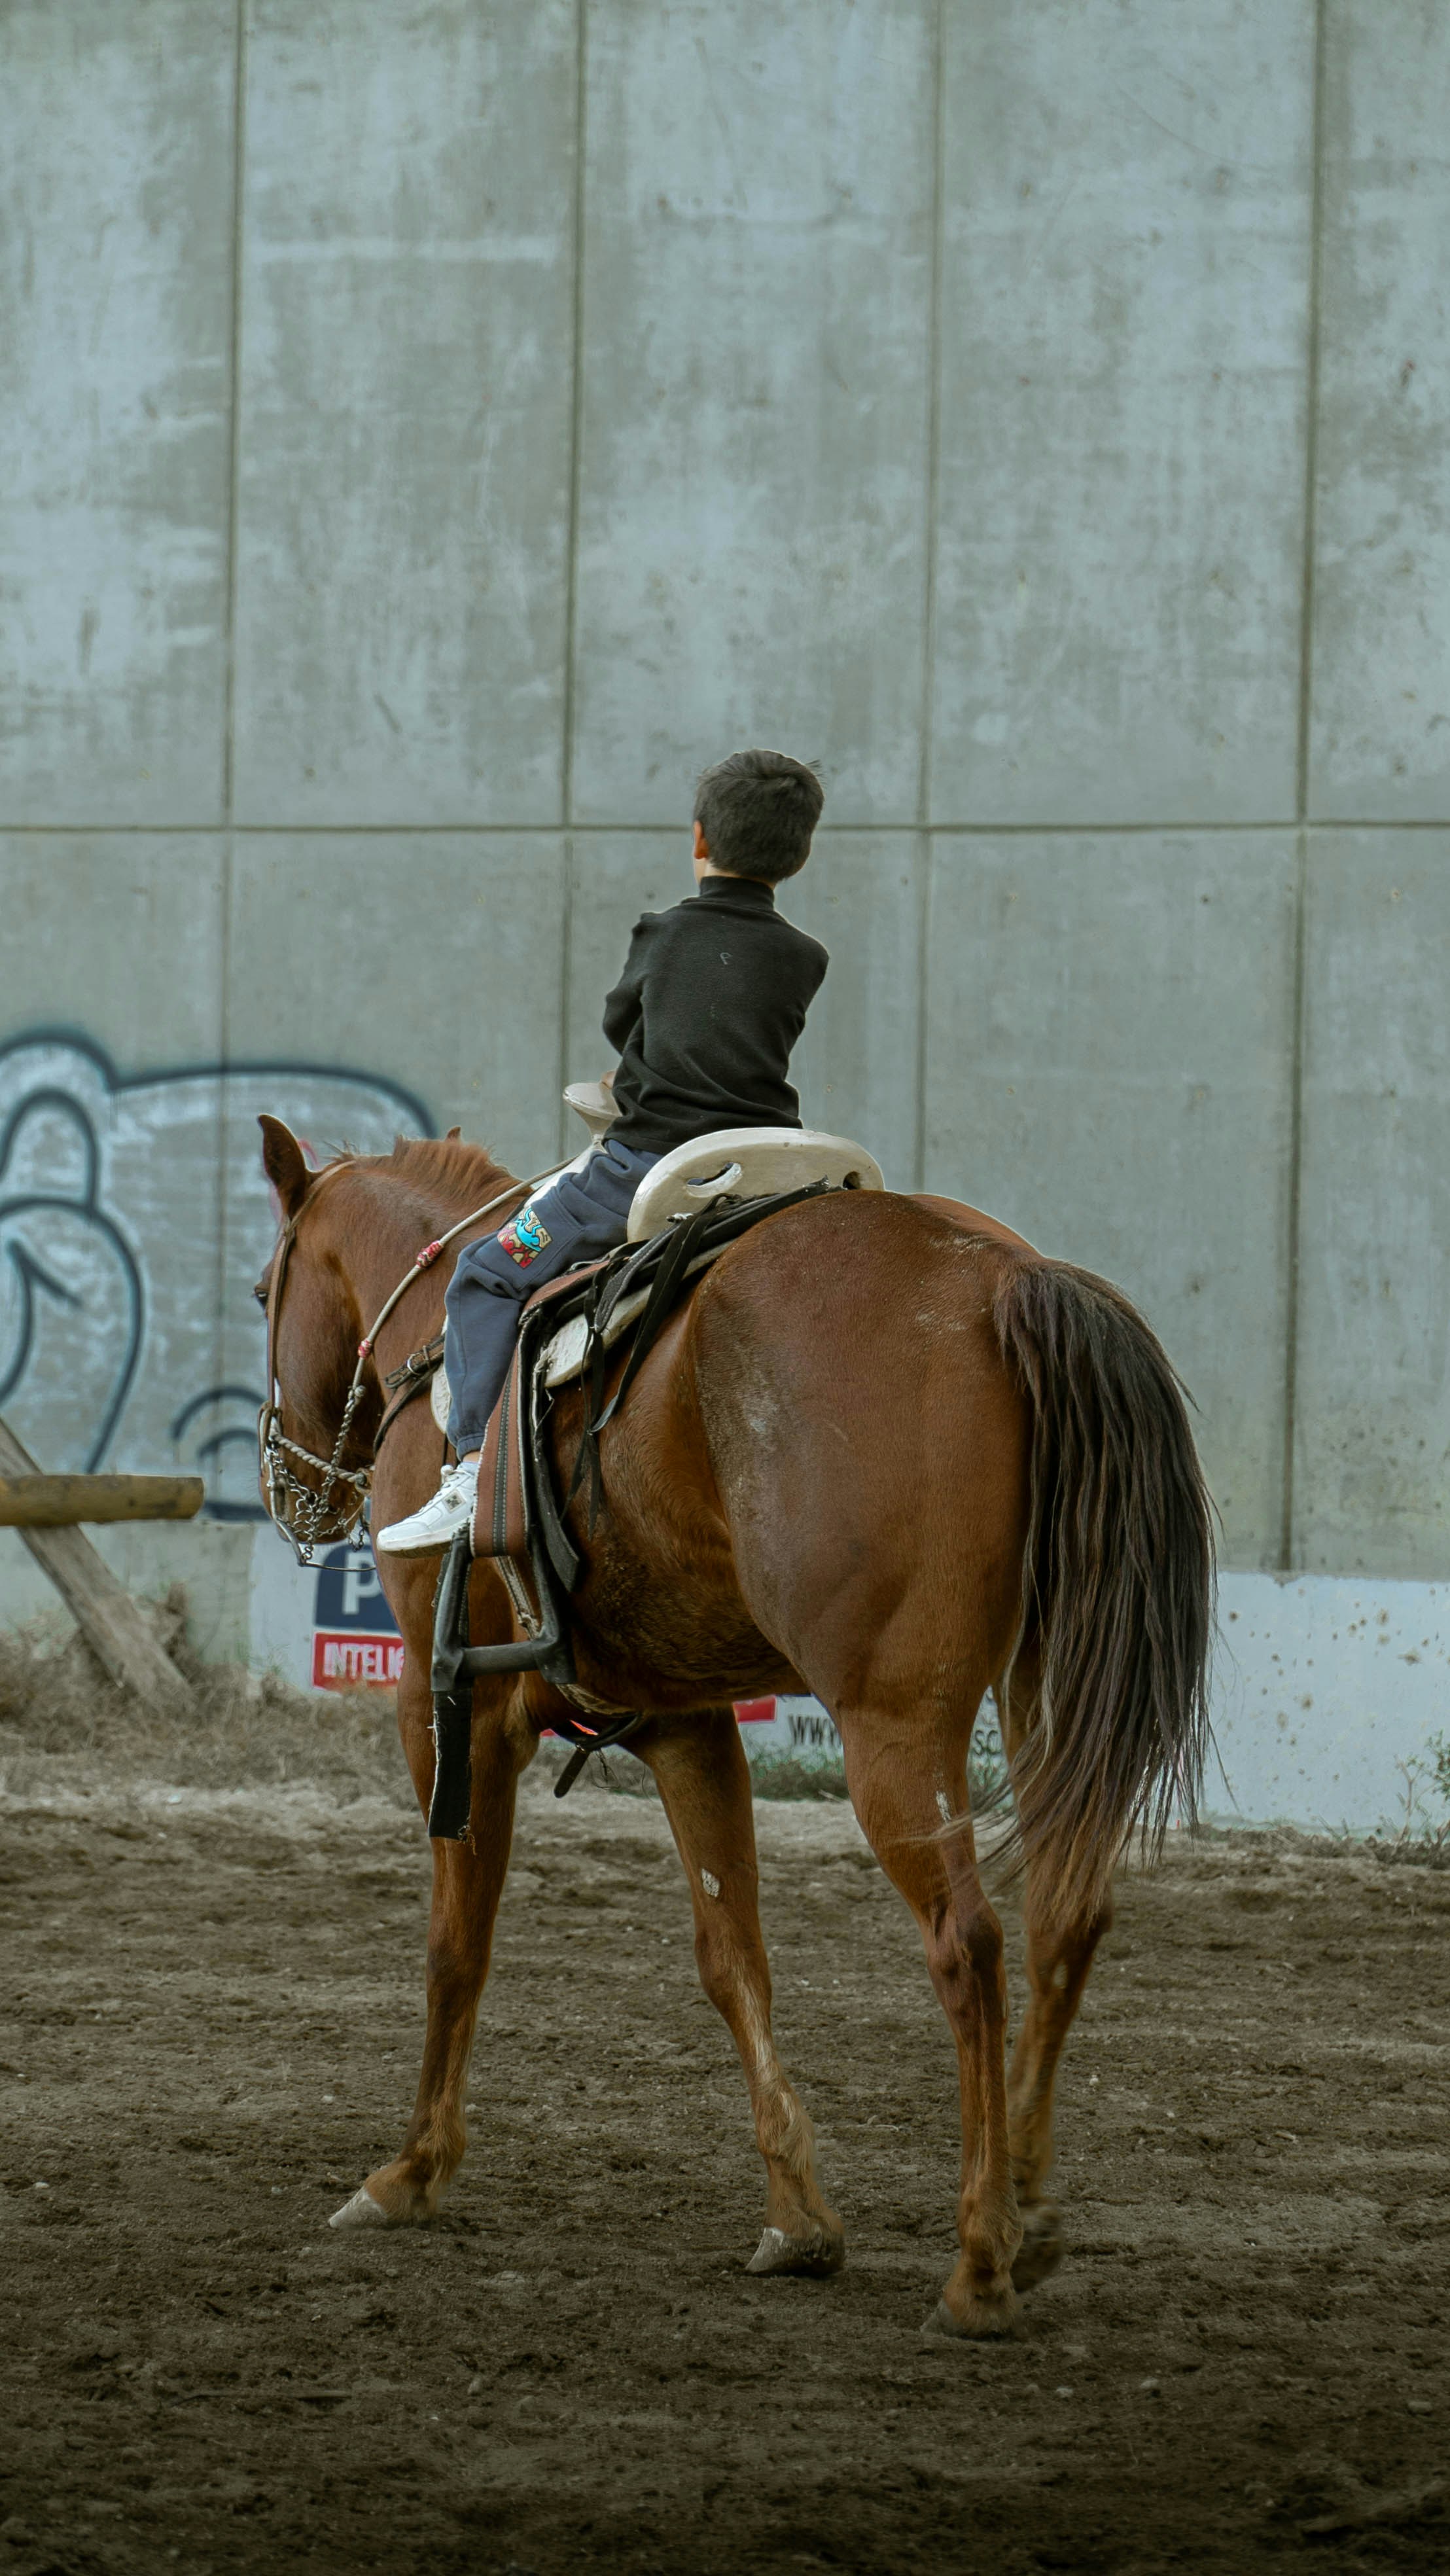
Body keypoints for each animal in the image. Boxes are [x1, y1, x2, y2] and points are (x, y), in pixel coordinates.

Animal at [254, 1116, 1213, 2339]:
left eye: (262, 1288)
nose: (295, 1489)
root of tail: (1003, 1282)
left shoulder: (448, 1708)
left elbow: (455, 1943)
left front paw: (411, 2171)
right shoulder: (686, 1721)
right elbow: (731, 1956)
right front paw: (798, 2217)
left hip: (894, 1727)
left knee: (969, 1943)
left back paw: (979, 2261)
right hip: (1041, 1690)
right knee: (1066, 1912)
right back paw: (1031, 2210)